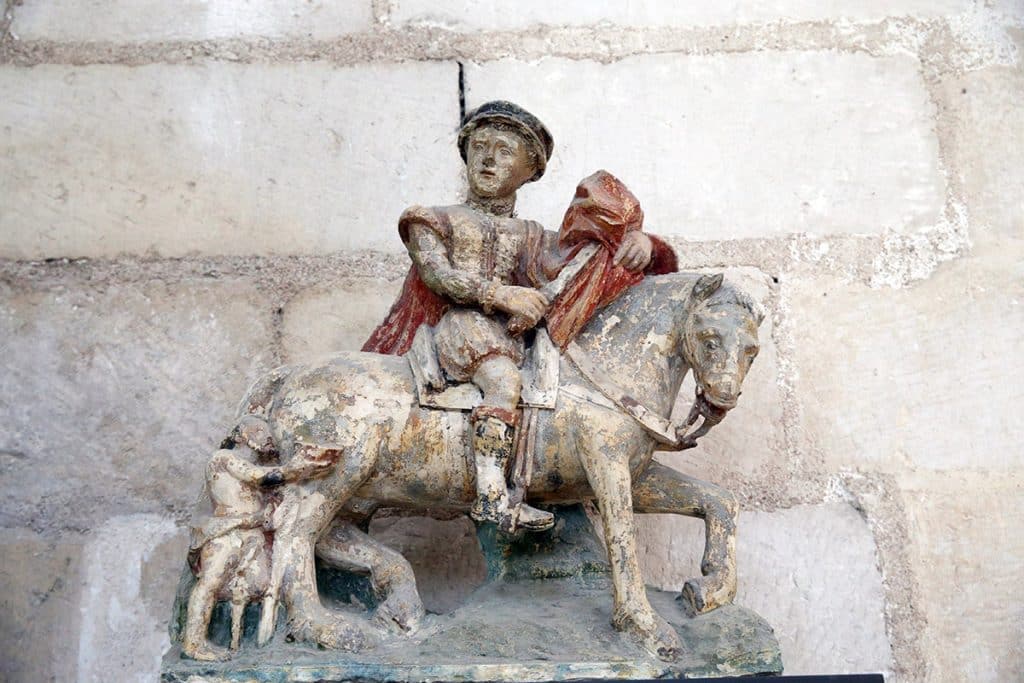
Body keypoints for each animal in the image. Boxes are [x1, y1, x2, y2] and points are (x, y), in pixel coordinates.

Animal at [237, 272, 761, 663]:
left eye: (751, 350)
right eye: (710, 339)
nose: (721, 402)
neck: (605, 376)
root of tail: (285, 375)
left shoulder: (639, 474)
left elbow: (719, 501)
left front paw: (710, 588)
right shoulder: (607, 467)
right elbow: (623, 540)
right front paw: (648, 629)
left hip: (357, 490)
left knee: (330, 539)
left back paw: (400, 603)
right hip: (335, 472)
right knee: (294, 537)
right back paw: (324, 628)